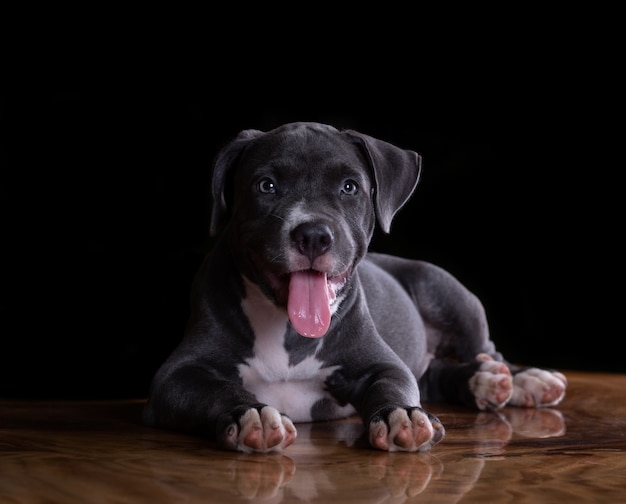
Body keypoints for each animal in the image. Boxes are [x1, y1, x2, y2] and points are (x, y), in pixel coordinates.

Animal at [143, 121, 564, 452]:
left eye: (349, 187)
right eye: (267, 185)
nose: (313, 235)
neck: (285, 327)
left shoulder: (383, 363)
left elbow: (391, 386)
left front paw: (401, 415)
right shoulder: (175, 377)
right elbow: (219, 389)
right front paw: (253, 415)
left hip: (448, 291)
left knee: (486, 351)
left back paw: (521, 379)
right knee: (436, 375)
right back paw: (483, 382)